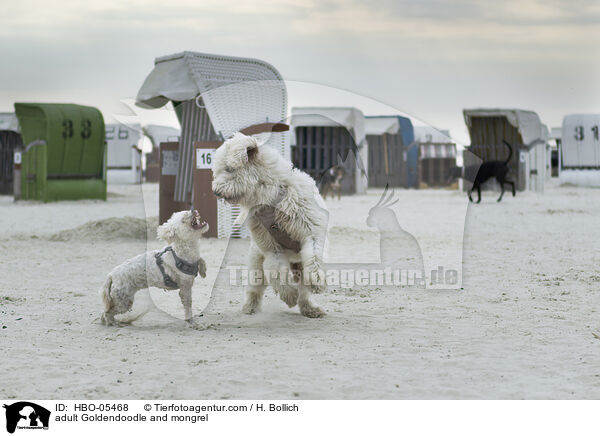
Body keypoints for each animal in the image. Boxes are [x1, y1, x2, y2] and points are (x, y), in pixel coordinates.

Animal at [212, 132, 328, 316]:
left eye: (229, 169)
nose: (215, 191)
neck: (273, 199)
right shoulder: (271, 248)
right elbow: (277, 271)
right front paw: (289, 296)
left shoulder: (311, 233)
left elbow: (314, 257)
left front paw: (316, 281)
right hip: (257, 263)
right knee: (255, 287)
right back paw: (250, 307)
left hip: (298, 264)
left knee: (304, 290)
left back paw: (311, 308)